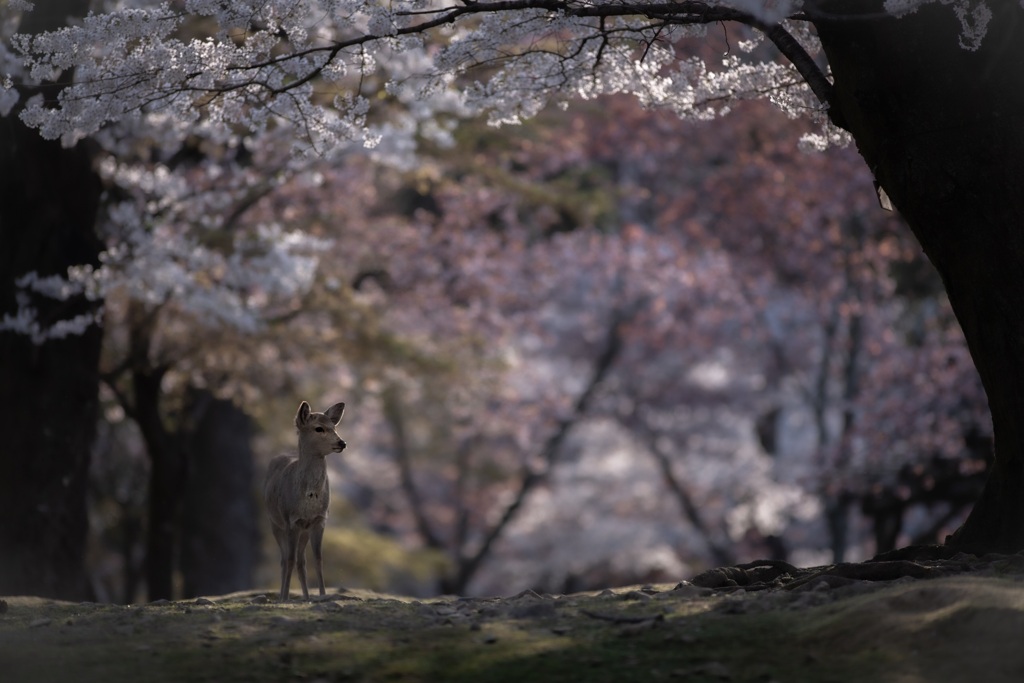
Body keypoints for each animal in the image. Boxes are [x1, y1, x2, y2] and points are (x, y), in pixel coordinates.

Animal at [262, 403, 346, 602]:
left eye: (334, 427)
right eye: (319, 428)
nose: (342, 443)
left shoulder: (319, 520)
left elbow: (318, 559)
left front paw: (322, 595)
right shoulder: (291, 521)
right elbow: (289, 560)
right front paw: (285, 597)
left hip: (303, 530)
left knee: (301, 561)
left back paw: (306, 596)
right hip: (274, 523)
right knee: (285, 559)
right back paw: (282, 596)